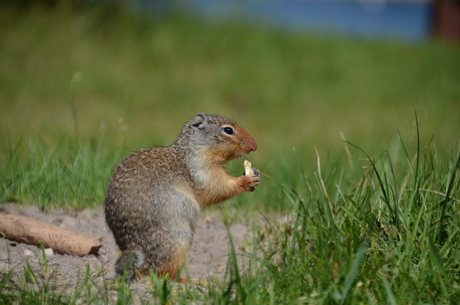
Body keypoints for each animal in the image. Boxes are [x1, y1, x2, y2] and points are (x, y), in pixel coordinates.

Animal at [105, 112, 260, 280]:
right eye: (228, 130)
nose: (254, 146)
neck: (193, 149)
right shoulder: (200, 170)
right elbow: (215, 188)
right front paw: (245, 180)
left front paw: (254, 172)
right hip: (178, 240)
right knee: (164, 274)